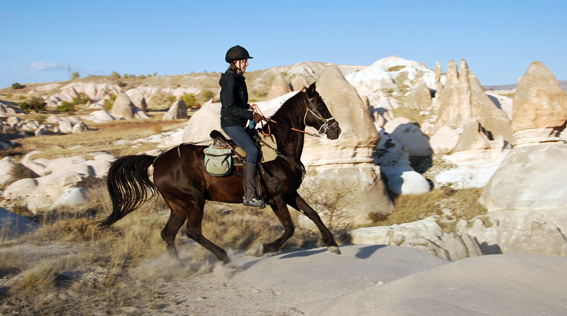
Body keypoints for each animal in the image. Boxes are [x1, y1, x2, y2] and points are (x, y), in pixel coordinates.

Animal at [98, 83, 342, 264]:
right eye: (320, 104)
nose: (336, 130)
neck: (280, 149)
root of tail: (157, 161)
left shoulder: (290, 194)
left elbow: (313, 214)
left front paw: (332, 243)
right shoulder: (277, 198)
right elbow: (290, 227)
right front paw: (265, 247)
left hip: (178, 206)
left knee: (168, 234)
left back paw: (179, 267)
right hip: (194, 201)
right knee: (192, 232)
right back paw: (224, 257)